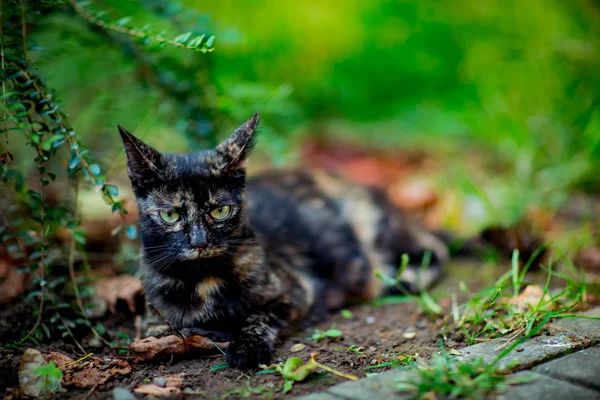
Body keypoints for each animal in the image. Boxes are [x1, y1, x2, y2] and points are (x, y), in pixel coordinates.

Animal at [118, 113, 446, 368]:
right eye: (171, 215)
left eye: (220, 210)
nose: (200, 242)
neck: (202, 281)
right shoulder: (156, 315)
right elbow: (171, 327)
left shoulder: (298, 290)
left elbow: (258, 316)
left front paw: (246, 347)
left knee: (435, 249)